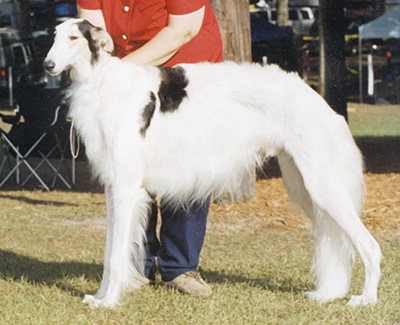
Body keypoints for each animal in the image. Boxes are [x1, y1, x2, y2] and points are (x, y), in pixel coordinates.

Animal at [43, 17, 382, 306]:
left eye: (74, 38)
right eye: (54, 36)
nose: (47, 64)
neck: (102, 82)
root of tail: (318, 100)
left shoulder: (127, 189)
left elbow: (115, 257)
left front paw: (110, 302)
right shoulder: (114, 189)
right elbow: (108, 252)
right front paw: (99, 297)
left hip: (323, 184)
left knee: (370, 246)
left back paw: (365, 299)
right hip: (304, 187)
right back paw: (331, 293)